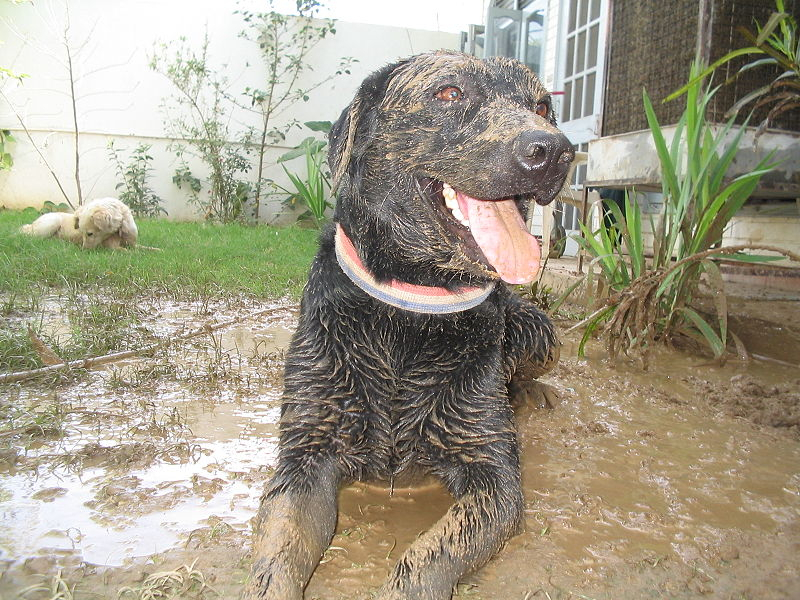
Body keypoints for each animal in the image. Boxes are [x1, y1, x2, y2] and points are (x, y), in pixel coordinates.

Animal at [244, 52, 576, 600]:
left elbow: (425, 558)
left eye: (544, 106)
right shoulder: (306, 454)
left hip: (538, 326)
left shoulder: (493, 475)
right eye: (449, 93)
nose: (555, 151)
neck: (413, 309)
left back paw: (531, 391)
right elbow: (278, 555)